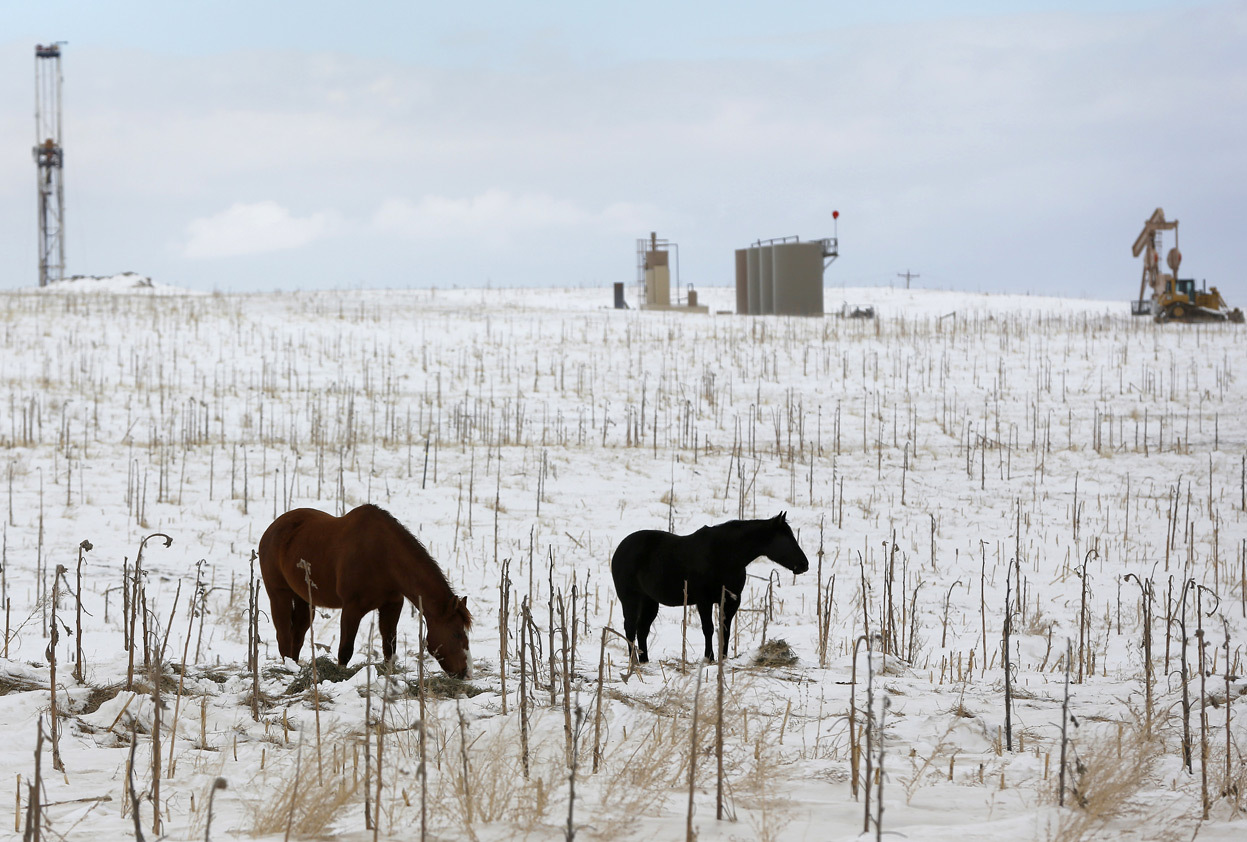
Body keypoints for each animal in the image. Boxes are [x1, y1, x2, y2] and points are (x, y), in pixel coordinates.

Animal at [258, 506, 471, 678]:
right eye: (456, 634)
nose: (465, 672)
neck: (383, 556)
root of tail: (272, 529)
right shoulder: (352, 608)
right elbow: (345, 649)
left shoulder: (392, 604)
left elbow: (389, 646)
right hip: (279, 595)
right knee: (283, 635)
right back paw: (289, 669)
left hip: (304, 599)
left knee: (298, 634)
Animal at [611, 513, 808, 663]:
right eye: (786, 539)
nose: (804, 564)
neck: (723, 555)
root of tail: (620, 548)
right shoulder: (703, 601)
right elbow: (709, 629)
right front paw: (709, 658)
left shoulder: (731, 601)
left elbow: (725, 629)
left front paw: (723, 658)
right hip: (630, 599)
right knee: (630, 628)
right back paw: (634, 662)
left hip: (650, 601)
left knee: (642, 629)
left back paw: (644, 661)